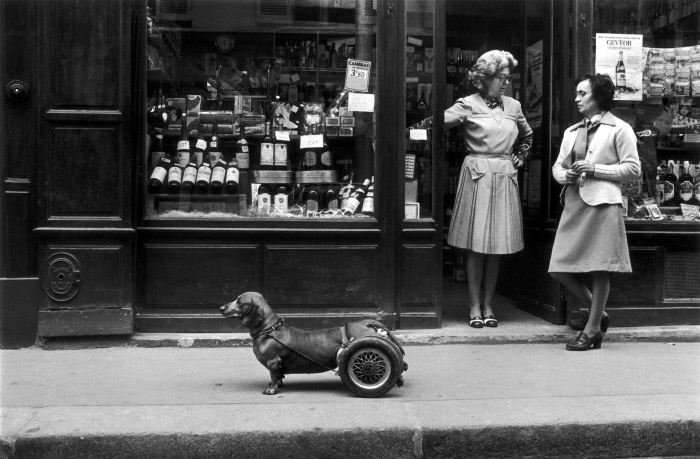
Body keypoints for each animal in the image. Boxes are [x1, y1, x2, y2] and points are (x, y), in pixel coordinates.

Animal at [219, 292, 404, 394]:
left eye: (239, 301)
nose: (220, 308)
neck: (269, 330)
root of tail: (367, 323)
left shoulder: (273, 362)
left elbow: (274, 376)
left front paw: (271, 389)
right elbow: (278, 376)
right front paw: (276, 384)